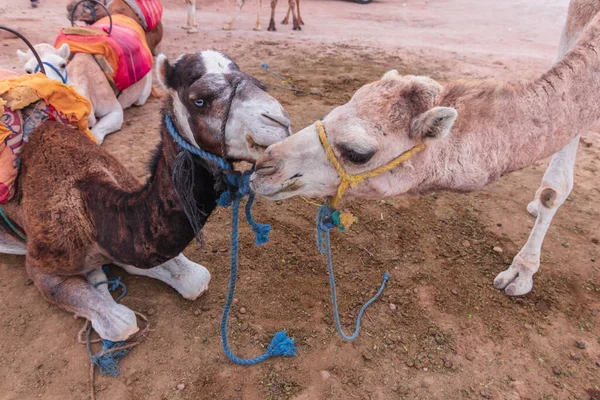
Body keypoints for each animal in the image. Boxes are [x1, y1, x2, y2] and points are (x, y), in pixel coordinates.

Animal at [0, 50, 290, 340]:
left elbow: (195, 278)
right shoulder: (39, 267)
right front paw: (98, 282)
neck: (89, 205)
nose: (281, 122)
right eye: (200, 100)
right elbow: (121, 323)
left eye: (256, 82)